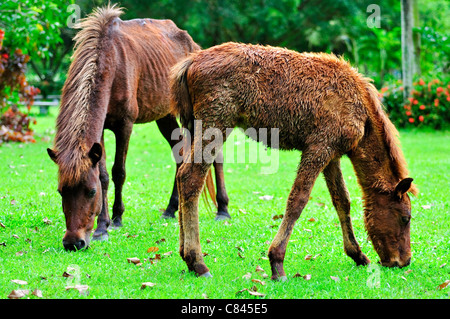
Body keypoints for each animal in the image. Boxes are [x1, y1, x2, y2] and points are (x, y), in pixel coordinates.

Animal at [47, 3, 230, 251]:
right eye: (61, 191)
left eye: (90, 192)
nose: (73, 242)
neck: (110, 61)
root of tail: (192, 45)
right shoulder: (100, 131)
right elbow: (103, 174)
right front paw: (102, 226)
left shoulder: (124, 125)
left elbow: (118, 172)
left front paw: (116, 218)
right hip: (166, 116)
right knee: (180, 154)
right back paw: (171, 209)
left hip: (194, 115)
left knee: (214, 154)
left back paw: (223, 209)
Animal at [170, 42, 418, 280]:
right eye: (405, 218)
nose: (403, 261)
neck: (361, 111)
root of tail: (191, 62)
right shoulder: (319, 147)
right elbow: (298, 200)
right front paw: (277, 263)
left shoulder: (332, 156)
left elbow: (342, 201)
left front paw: (357, 254)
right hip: (216, 123)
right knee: (191, 178)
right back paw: (198, 262)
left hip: (195, 125)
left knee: (182, 174)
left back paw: (185, 255)